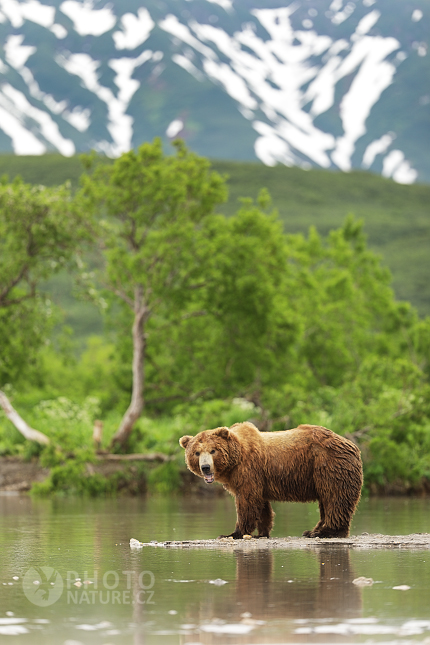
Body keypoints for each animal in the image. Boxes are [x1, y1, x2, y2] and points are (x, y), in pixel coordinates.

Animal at [179, 422, 362, 540]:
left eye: (213, 450)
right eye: (196, 452)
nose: (205, 467)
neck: (234, 462)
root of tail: (351, 444)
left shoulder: (249, 470)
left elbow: (247, 501)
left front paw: (233, 533)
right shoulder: (258, 479)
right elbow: (261, 505)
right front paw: (262, 532)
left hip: (328, 465)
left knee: (335, 497)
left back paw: (326, 532)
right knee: (326, 500)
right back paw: (312, 531)